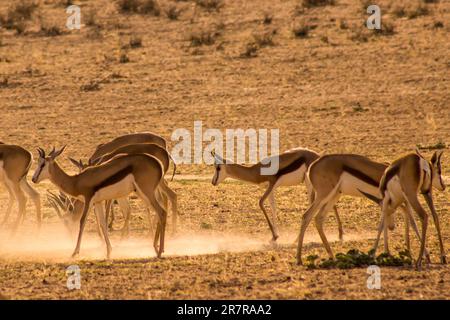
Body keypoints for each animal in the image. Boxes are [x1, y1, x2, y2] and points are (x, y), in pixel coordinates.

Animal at [31, 146, 169, 258]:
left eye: (43, 164)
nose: (33, 179)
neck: (76, 181)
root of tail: (158, 163)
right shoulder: (97, 203)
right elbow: (103, 224)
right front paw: (108, 251)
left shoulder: (88, 200)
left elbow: (82, 222)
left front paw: (75, 252)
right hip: (143, 193)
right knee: (159, 212)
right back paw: (156, 248)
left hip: (146, 192)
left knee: (161, 212)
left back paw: (160, 251)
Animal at [209, 149, 342, 241]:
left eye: (218, 167)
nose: (213, 182)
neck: (255, 171)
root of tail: (317, 156)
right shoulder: (270, 189)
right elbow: (273, 207)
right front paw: (277, 234)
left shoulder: (271, 185)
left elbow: (261, 203)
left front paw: (274, 235)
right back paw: (339, 234)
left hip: (310, 184)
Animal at [296, 152, 432, 264]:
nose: (392, 227)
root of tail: (312, 166)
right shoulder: (392, 201)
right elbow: (408, 221)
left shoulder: (397, 202)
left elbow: (406, 219)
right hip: (324, 195)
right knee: (307, 215)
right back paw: (299, 259)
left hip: (334, 195)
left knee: (318, 218)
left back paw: (331, 257)